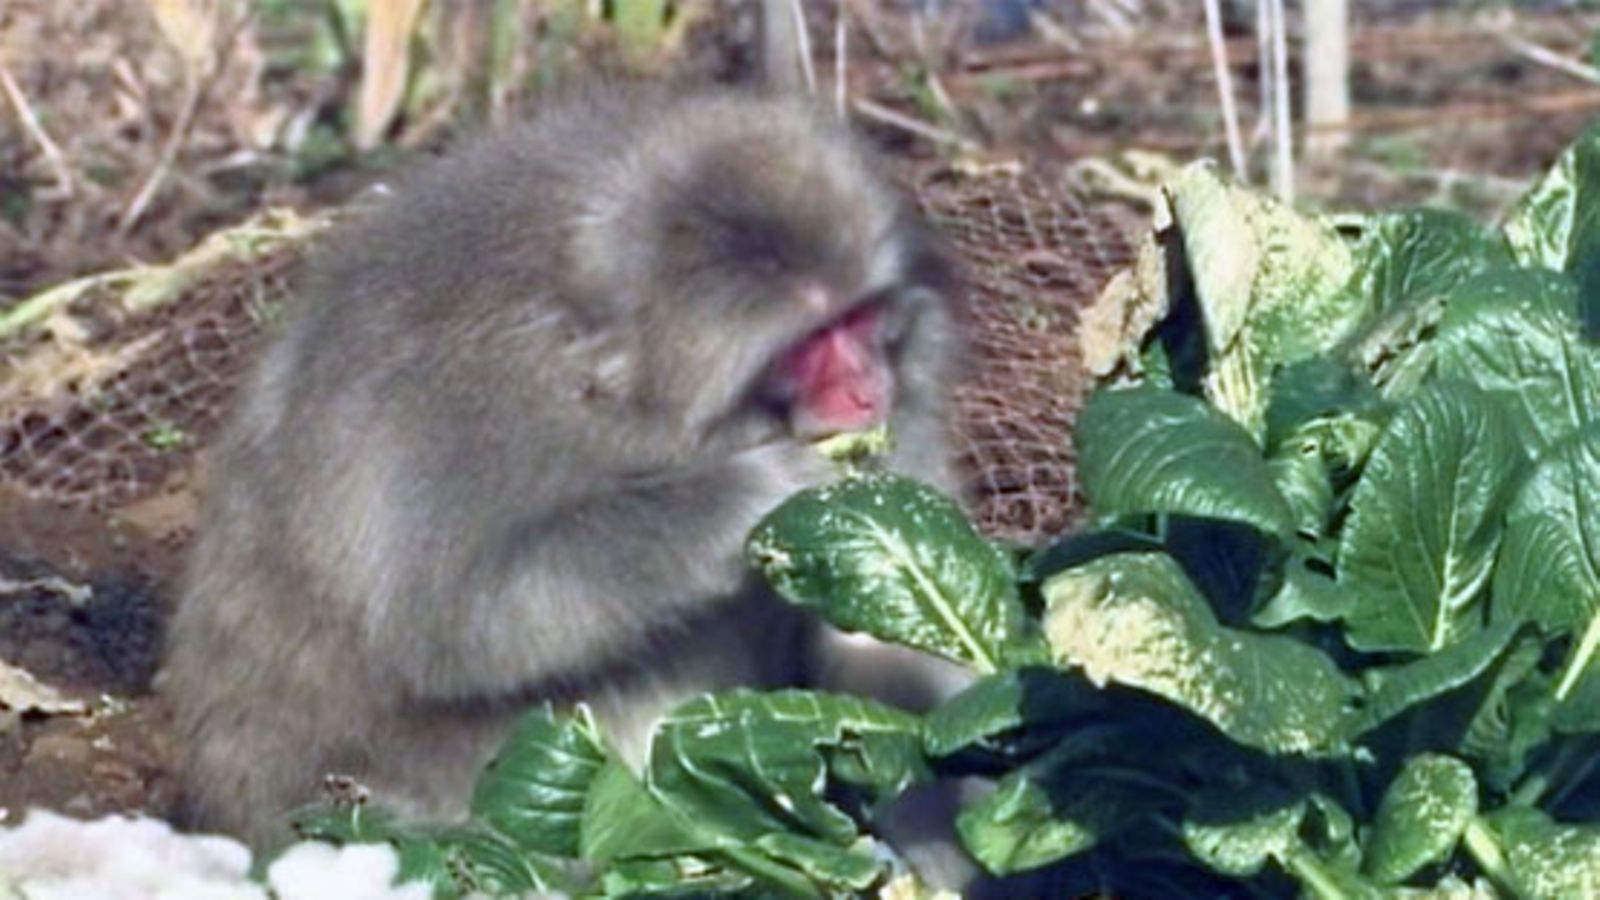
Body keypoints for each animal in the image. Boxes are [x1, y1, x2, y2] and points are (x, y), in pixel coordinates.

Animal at [159, 82, 972, 845]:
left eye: (858, 318)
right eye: (810, 345)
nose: (869, 389)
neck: (615, 388)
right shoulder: (457, 419)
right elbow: (464, 616)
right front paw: (757, 493)